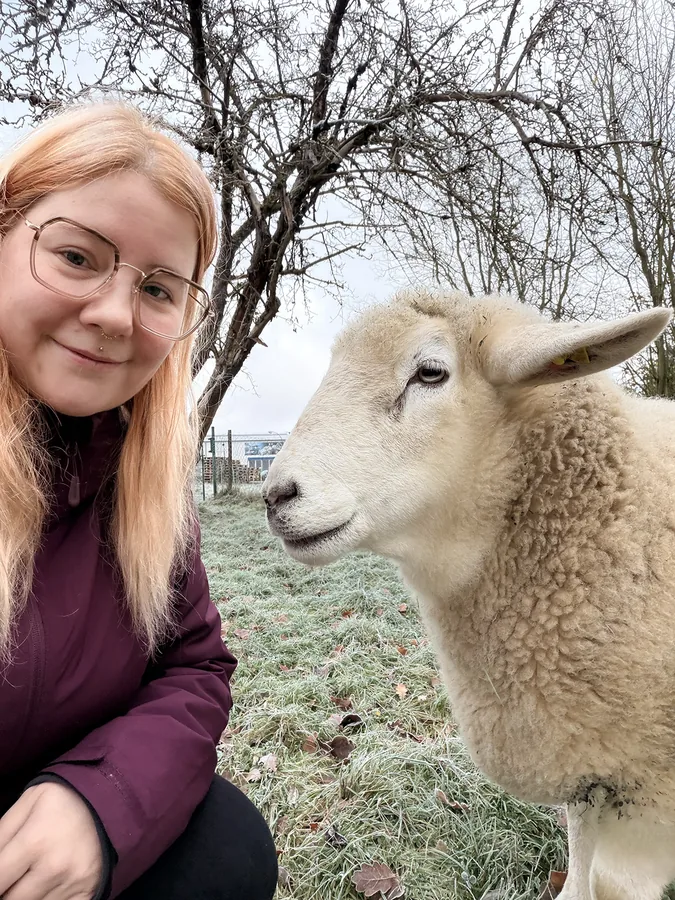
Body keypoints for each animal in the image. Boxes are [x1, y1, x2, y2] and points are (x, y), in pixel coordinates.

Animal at [262, 290, 675, 900]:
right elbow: (580, 876)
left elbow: (606, 883)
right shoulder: (591, 774)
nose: (275, 496)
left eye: (431, 372)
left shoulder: (646, 796)